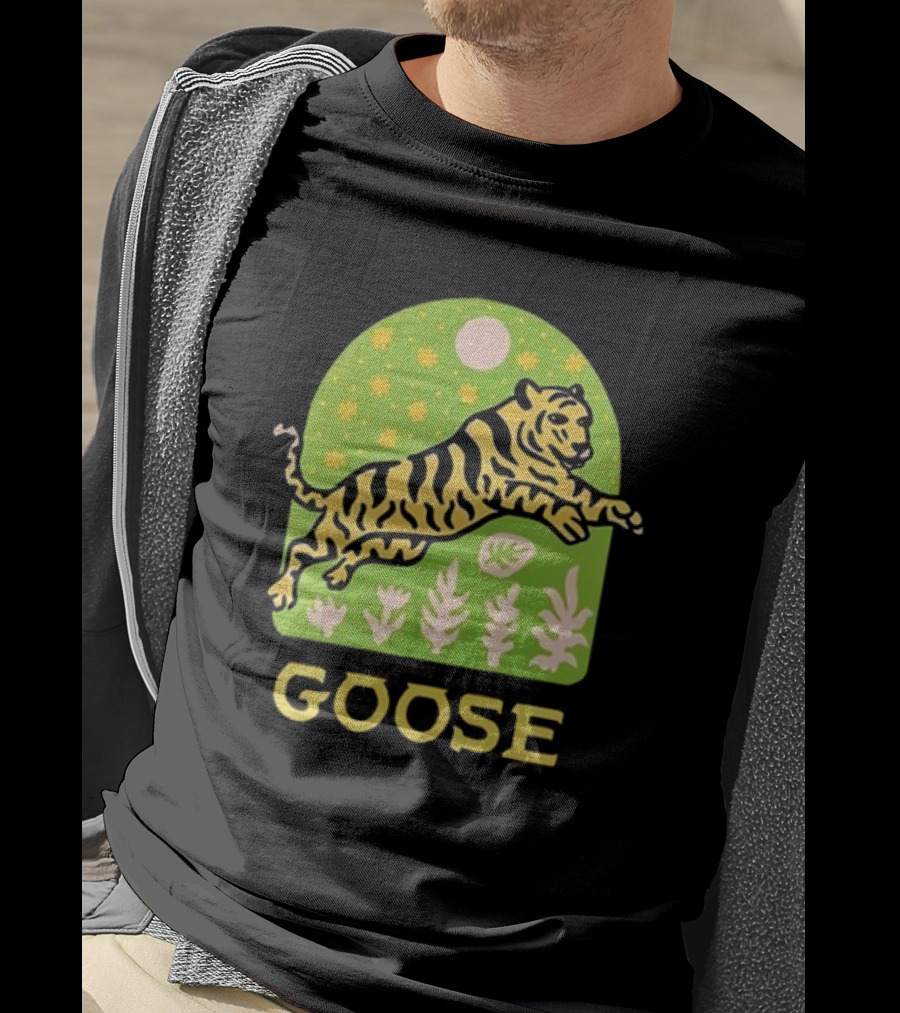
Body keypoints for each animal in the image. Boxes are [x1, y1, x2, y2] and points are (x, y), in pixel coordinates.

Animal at [268, 378, 642, 607]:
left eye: (585, 420)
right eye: (558, 419)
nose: (584, 451)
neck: (533, 451)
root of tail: (337, 489)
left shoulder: (559, 477)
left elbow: (589, 496)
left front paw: (623, 513)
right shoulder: (499, 487)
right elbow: (539, 498)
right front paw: (569, 519)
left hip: (400, 545)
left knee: (358, 553)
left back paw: (337, 576)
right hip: (337, 532)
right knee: (300, 548)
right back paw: (282, 594)